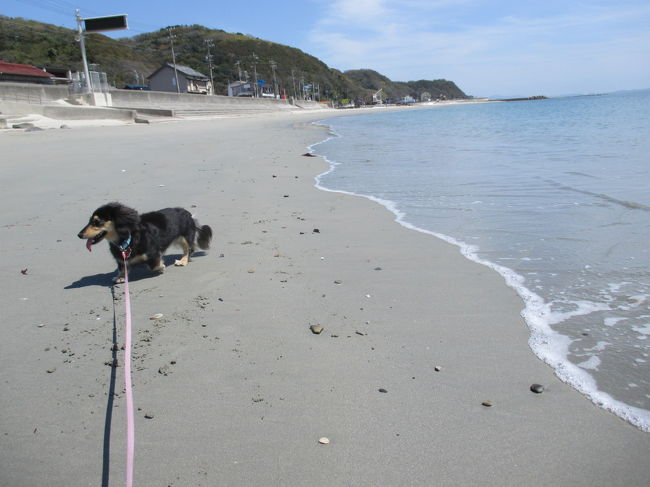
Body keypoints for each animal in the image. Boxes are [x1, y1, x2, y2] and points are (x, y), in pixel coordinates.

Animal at [77, 202, 211, 284]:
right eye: (90, 220)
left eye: (97, 221)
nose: (79, 235)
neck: (126, 240)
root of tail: (188, 214)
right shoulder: (121, 258)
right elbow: (122, 267)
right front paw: (120, 277)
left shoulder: (154, 252)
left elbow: (153, 265)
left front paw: (161, 267)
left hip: (184, 237)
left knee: (189, 249)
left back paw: (183, 260)